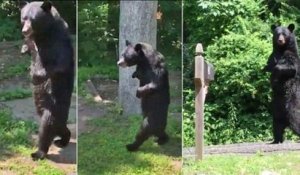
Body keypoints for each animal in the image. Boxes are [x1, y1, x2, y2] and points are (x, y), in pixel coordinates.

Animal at [20, 1, 74, 160]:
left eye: (33, 19)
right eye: (23, 18)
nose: (24, 31)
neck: (44, 33)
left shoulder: (58, 40)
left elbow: (59, 63)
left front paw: (35, 76)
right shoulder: (33, 41)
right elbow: (29, 48)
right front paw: (24, 48)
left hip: (54, 106)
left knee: (47, 127)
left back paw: (38, 152)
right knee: (59, 128)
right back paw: (62, 139)